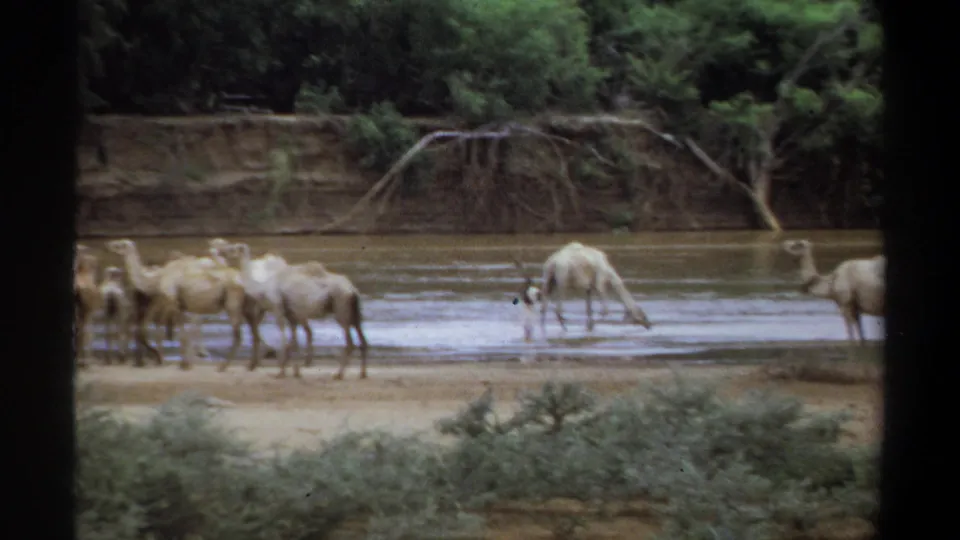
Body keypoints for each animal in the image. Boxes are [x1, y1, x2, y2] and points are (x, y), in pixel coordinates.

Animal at [222, 243, 368, 379]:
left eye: (232, 249)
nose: (221, 252)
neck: (262, 286)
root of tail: (353, 290)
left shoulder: (278, 307)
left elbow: (284, 335)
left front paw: (282, 371)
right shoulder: (291, 314)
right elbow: (293, 340)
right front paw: (294, 371)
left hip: (341, 308)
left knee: (350, 342)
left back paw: (339, 374)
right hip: (353, 312)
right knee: (362, 340)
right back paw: (362, 373)